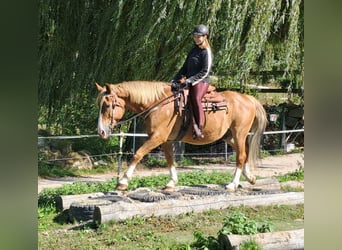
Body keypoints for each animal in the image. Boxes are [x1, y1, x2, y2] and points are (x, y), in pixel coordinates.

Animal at [95, 81, 268, 192]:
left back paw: (232, 184)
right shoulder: (165, 140)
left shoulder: (157, 138)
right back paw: (250, 177)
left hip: (239, 133)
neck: (158, 104)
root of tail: (248, 98)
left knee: (241, 156)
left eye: (107, 105)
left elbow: (138, 154)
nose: (101, 132)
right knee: (244, 151)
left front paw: (123, 182)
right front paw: (171, 183)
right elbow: (170, 160)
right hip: (229, 136)